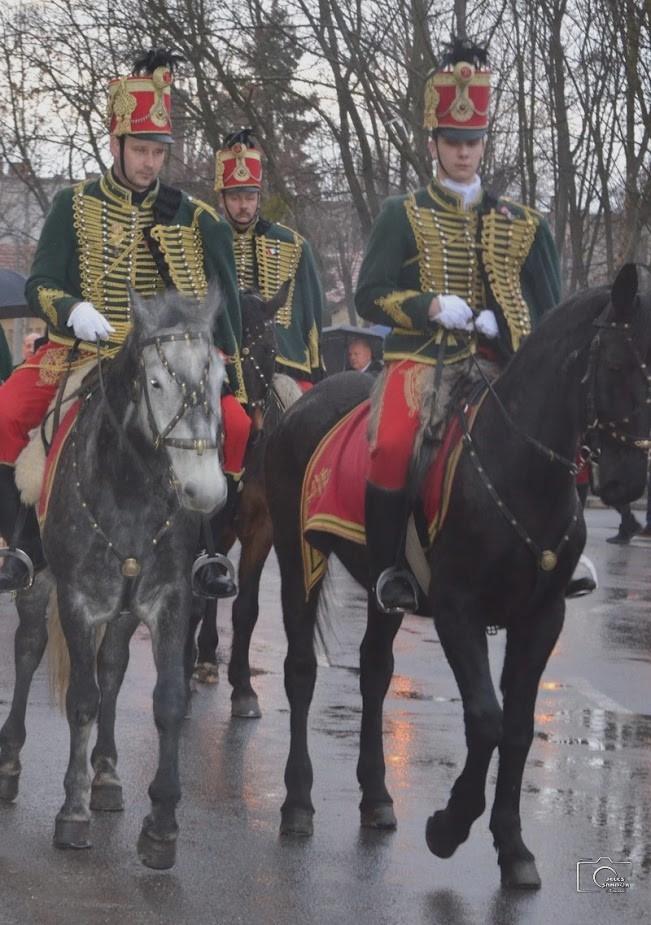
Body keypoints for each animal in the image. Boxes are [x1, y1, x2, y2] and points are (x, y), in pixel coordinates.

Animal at [0, 286, 227, 868]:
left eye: (221, 380)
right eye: (156, 382)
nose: (205, 490)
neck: (130, 487)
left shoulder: (168, 600)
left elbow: (166, 701)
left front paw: (162, 824)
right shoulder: (79, 600)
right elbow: (81, 700)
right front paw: (72, 812)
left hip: (125, 610)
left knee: (114, 667)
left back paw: (105, 773)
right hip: (39, 584)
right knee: (29, 649)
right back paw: (11, 760)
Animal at [186, 280, 304, 716]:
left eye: (270, 349)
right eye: (225, 348)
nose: (251, 424)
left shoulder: (260, 529)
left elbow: (246, 609)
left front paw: (244, 688)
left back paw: (206, 657)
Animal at [264, 262, 651, 888]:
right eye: (616, 364)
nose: (626, 482)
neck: (518, 469)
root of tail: (306, 397)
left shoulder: (543, 616)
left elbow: (519, 727)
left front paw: (513, 847)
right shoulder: (457, 611)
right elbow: (487, 720)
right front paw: (449, 827)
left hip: (382, 586)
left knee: (375, 671)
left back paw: (377, 797)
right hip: (297, 553)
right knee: (301, 669)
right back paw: (298, 802)